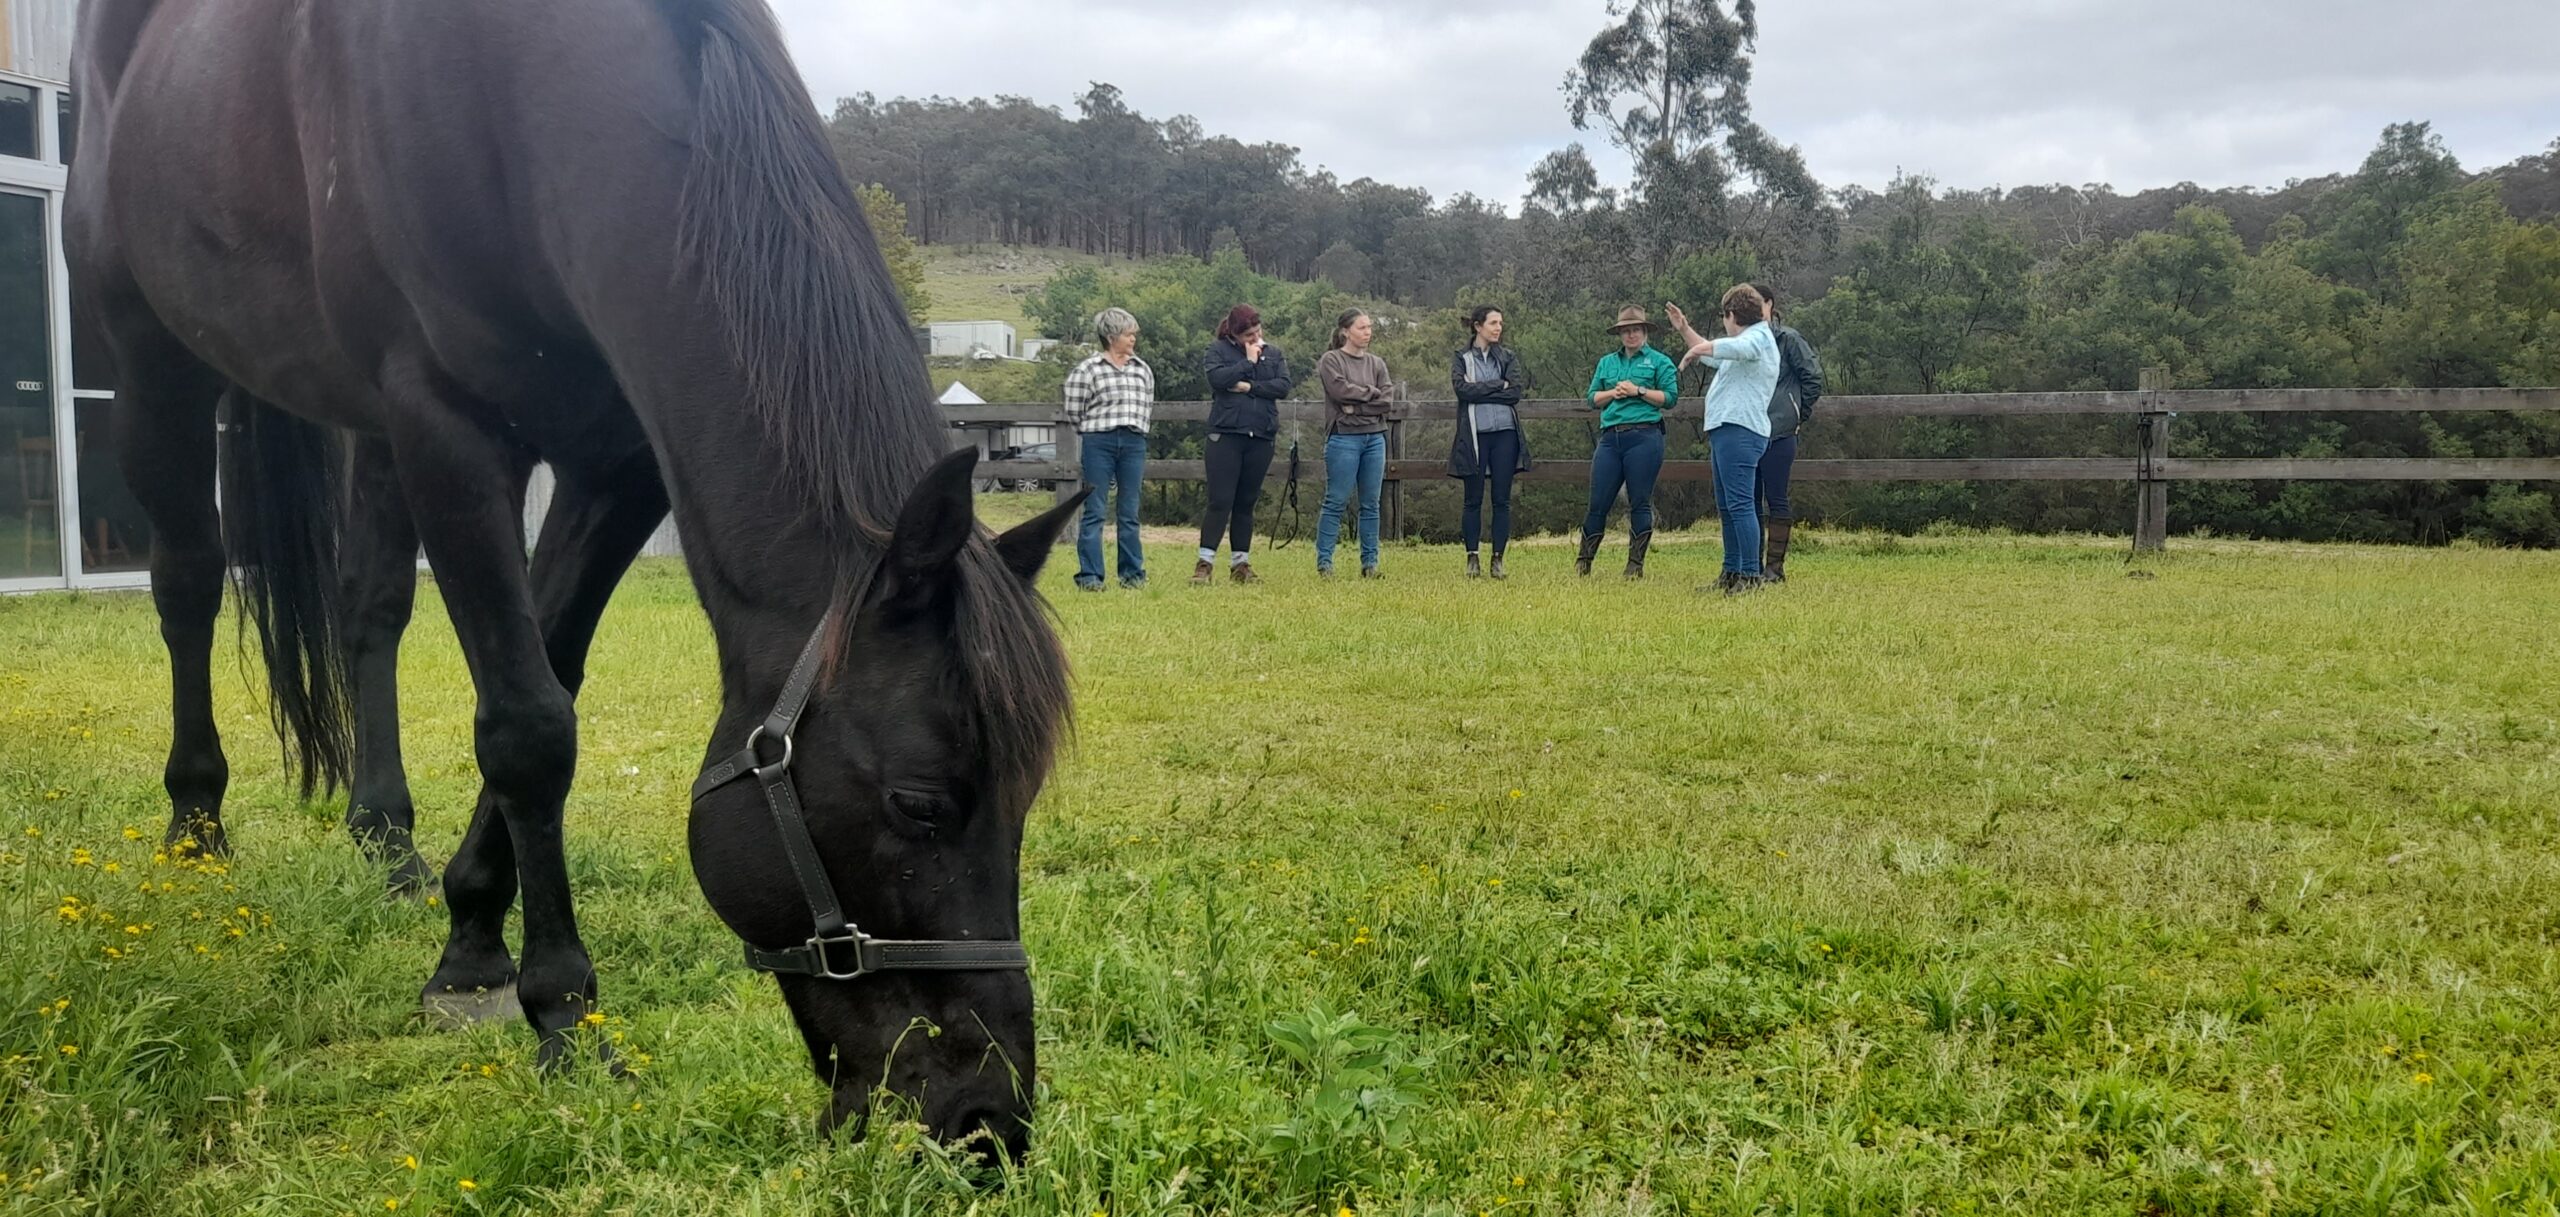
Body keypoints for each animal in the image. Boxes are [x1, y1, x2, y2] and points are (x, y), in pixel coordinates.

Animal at [62, 0, 1080, 1152]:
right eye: (919, 803)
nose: (989, 1118)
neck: (523, 98)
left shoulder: (610, 460)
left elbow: (547, 671)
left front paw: (468, 935)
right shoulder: (449, 429)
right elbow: (527, 725)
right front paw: (560, 1010)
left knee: (371, 607)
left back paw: (385, 837)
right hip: (154, 358)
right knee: (187, 584)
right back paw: (195, 827)